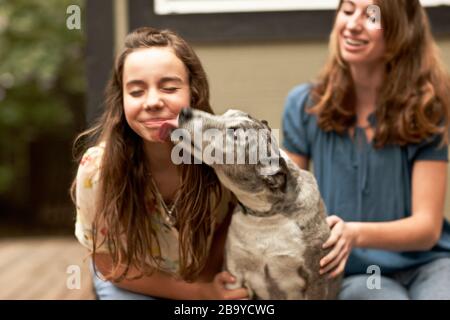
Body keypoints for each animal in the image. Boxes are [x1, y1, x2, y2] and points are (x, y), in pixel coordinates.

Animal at [176, 108, 342, 300]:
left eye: (234, 133)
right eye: (227, 113)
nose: (185, 111)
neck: (265, 217)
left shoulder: (318, 278)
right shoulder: (234, 276)